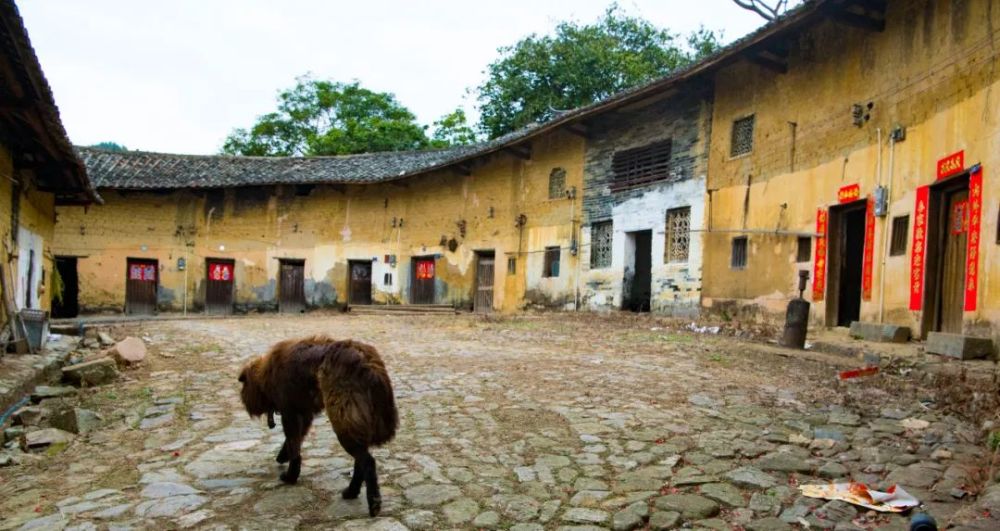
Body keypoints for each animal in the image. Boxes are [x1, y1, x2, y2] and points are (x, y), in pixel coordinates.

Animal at [238, 338, 398, 516]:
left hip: (343, 422)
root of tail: (368, 362)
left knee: (367, 461)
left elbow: (293, 445)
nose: (244, 403)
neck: (268, 373)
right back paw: (352, 492)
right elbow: (295, 441)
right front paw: (282, 457)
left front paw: (291, 476)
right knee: (360, 461)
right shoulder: (304, 414)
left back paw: (372, 502)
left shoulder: (290, 413)